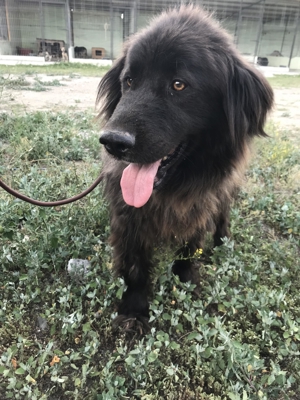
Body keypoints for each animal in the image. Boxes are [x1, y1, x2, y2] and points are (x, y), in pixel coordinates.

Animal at [96, 5, 274, 332]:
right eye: (129, 81)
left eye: (179, 85)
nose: (113, 142)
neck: (170, 189)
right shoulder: (128, 215)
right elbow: (134, 261)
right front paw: (134, 307)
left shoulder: (201, 201)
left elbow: (193, 241)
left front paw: (185, 276)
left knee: (223, 214)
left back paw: (223, 239)